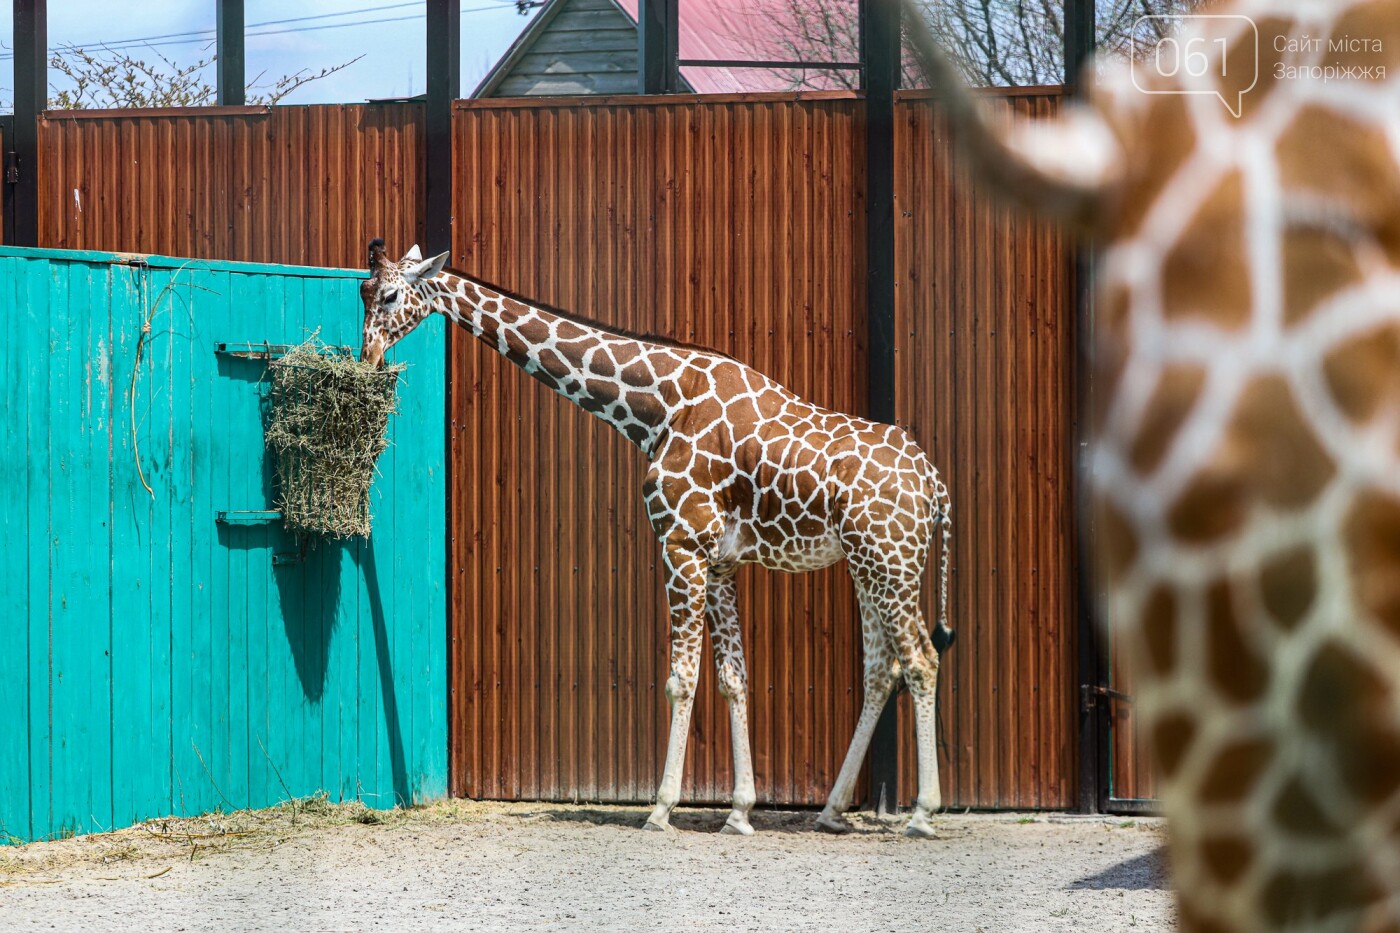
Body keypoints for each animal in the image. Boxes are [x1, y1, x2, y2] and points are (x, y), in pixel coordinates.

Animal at [355, 236, 957, 829]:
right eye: (362, 292)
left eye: (389, 295)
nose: (368, 360)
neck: (659, 407)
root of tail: (934, 484)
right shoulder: (720, 559)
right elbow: (733, 677)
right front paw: (740, 812)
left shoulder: (680, 543)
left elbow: (681, 678)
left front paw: (662, 807)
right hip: (869, 566)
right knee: (881, 669)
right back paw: (831, 810)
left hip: (890, 562)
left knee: (922, 659)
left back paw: (922, 812)